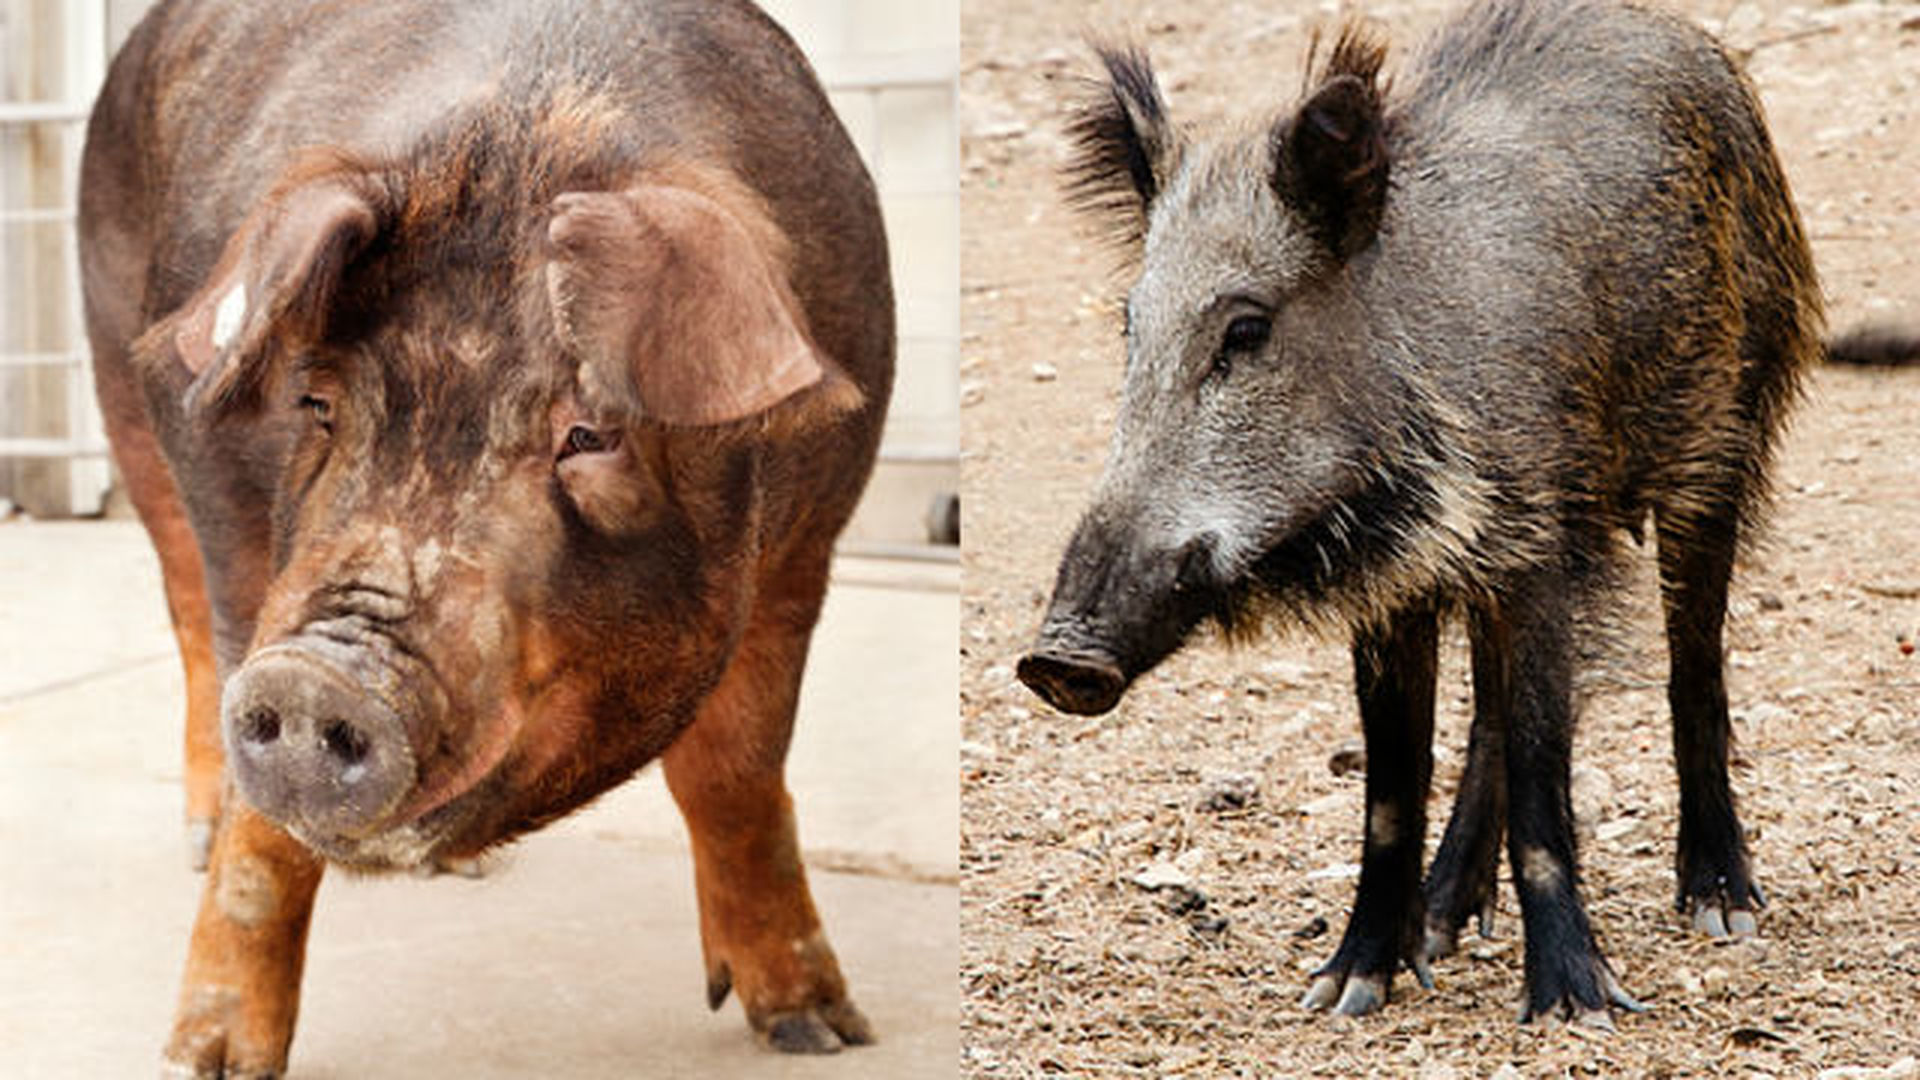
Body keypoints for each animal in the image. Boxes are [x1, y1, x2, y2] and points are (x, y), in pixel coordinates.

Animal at [72, 0, 883, 1068]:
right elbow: (264, 830)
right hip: (117, 377)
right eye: (318, 402)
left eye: (590, 434)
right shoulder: (251, 552)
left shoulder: (806, 550)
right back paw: (198, 838)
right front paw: (201, 1062)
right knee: (183, 612)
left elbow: (736, 774)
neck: (535, 124)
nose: (314, 678)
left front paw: (821, 1032)